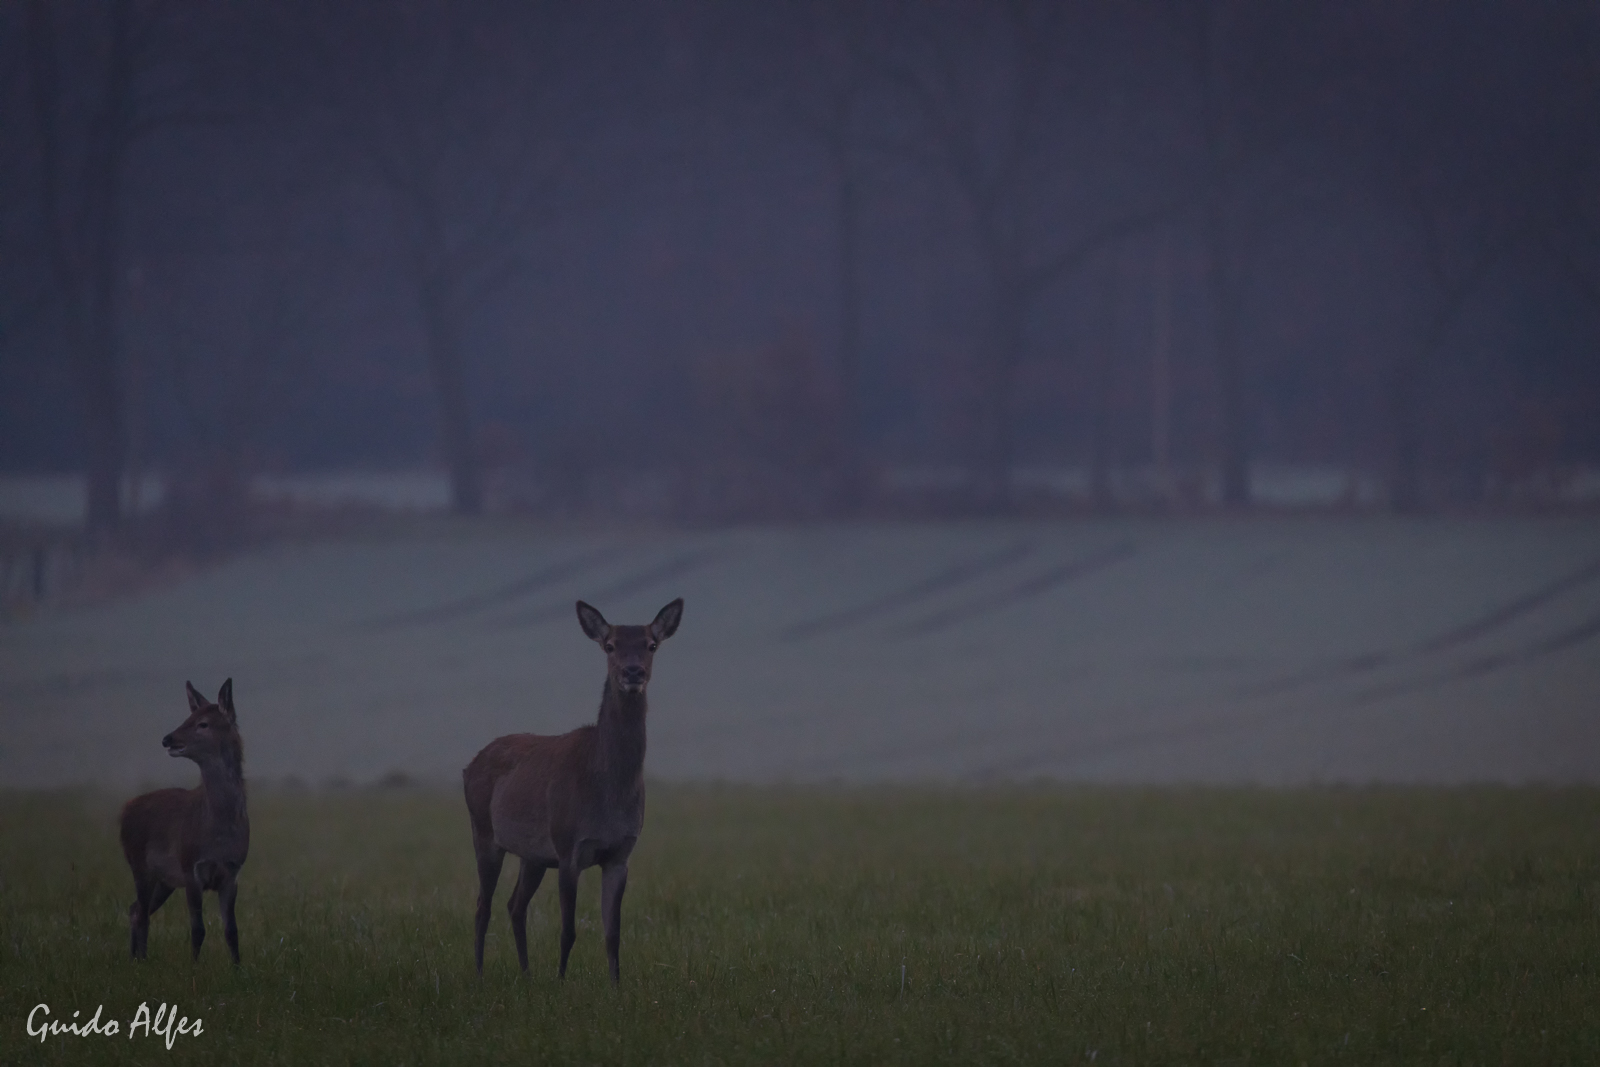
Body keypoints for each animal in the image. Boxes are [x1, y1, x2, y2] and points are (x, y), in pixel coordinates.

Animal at [116, 684, 248, 966]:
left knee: (136, 909)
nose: (168, 739)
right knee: (141, 913)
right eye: (188, 717)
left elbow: (232, 930)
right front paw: (194, 967)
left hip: (163, 880)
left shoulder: (232, 872)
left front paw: (238, 968)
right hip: (139, 865)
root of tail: (126, 809)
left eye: (203, 723)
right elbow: (197, 929)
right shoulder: (190, 869)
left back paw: (135, 958)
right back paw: (141, 961)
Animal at [467, 598, 684, 979]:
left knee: (514, 904)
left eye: (651, 645)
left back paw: (526, 974)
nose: (632, 672)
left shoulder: (620, 855)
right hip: (484, 832)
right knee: (483, 905)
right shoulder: (569, 848)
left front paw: (615, 986)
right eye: (609, 645)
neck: (608, 791)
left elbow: (613, 933)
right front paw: (561, 982)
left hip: (533, 854)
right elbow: (567, 930)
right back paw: (479, 975)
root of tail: (467, 766)